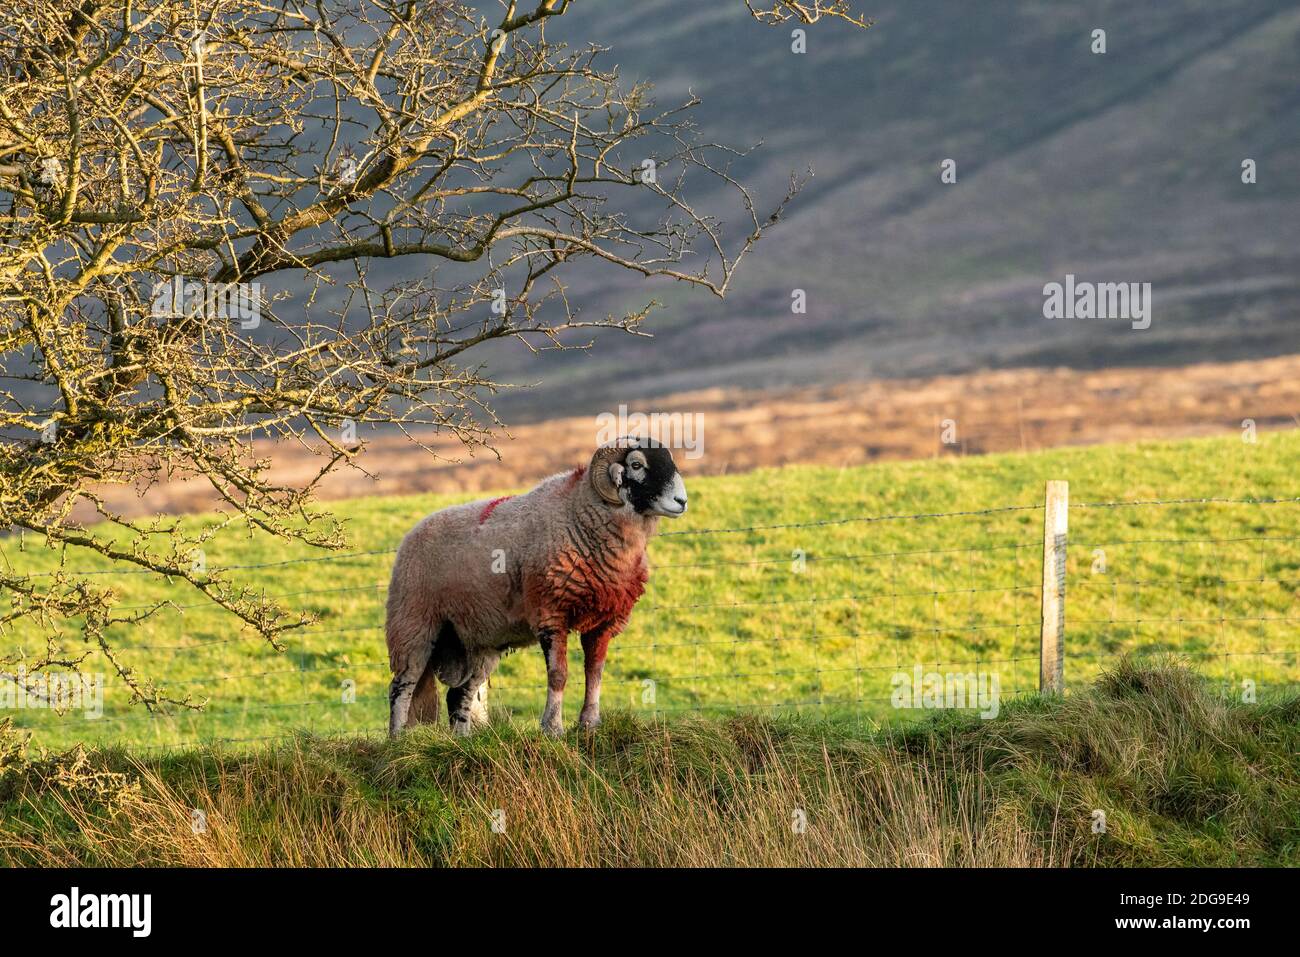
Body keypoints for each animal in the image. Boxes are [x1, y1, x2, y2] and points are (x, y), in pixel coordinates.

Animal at [384, 436, 691, 738]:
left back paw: (463, 741)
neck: (579, 514)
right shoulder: (551, 613)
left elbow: (595, 673)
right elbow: (559, 674)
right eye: (637, 465)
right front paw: (552, 729)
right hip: (413, 623)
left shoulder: (603, 621)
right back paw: (398, 740)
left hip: (480, 638)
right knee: (402, 686)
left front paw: (590, 725)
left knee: (460, 693)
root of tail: (413, 532)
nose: (682, 501)